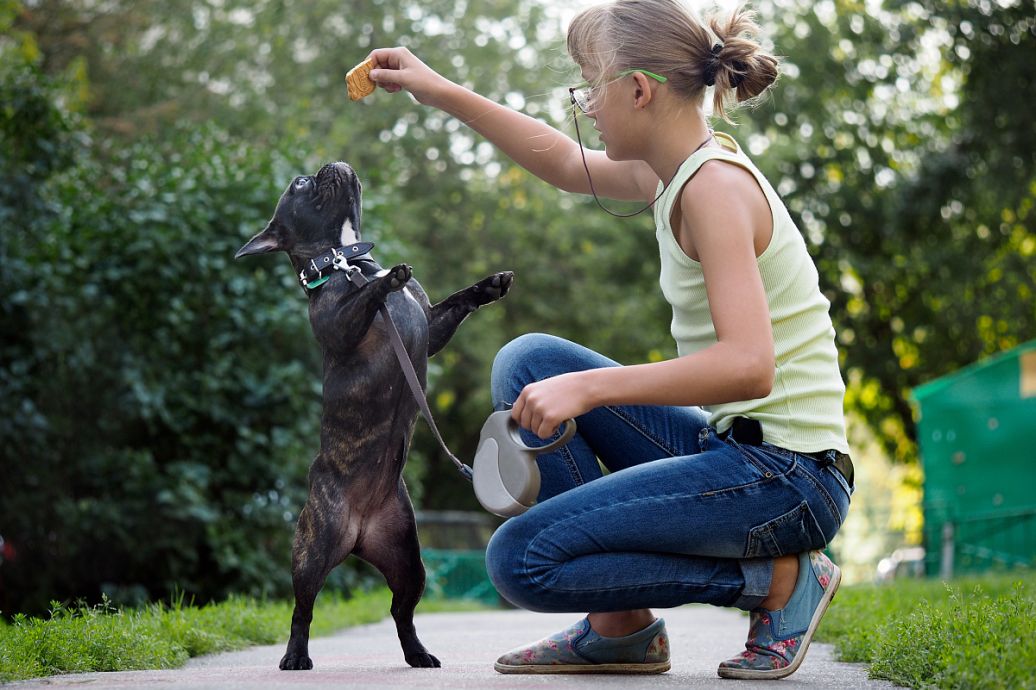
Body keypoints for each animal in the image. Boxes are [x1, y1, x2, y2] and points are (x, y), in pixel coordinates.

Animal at [234, 161, 509, 667]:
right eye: (299, 185)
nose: (328, 164)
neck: (347, 261)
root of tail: (359, 535)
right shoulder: (341, 326)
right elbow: (362, 301)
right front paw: (388, 280)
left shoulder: (431, 325)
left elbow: (454, 305)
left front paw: (488, 286)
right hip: (313, 548)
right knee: (303, 607)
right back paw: (296, 656)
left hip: (409, 558)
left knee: (402, 610)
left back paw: (418, 654)